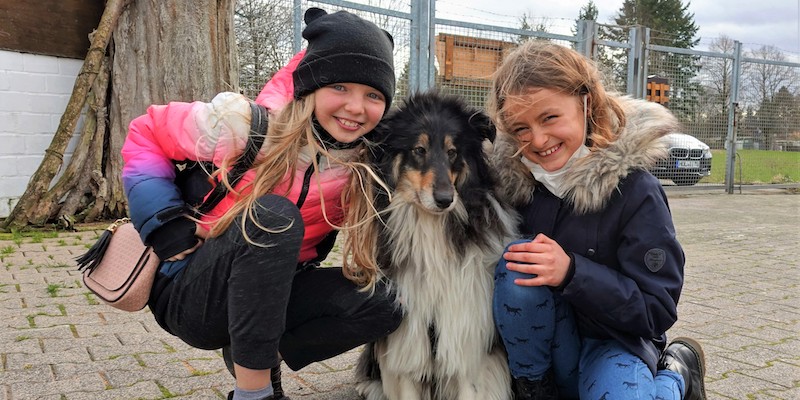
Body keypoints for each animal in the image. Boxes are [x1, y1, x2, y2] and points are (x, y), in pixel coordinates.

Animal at [354, 92, 516, 398]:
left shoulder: (464, 341)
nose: (445, 200)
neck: (430, 228)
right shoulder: (407, 345)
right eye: (419, 149)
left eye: (453, 152)